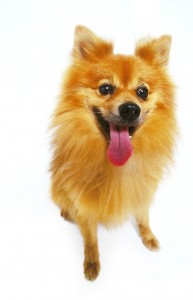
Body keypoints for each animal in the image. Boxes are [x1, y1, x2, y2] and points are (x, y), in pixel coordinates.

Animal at [49, 25, 176, 282]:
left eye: (143, 92)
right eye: (105, 88)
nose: (130, 109)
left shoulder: (142, 189)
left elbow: (143, 216)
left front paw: (148, 236)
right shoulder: (83, 200)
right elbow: (90, 235)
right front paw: (91, 263)